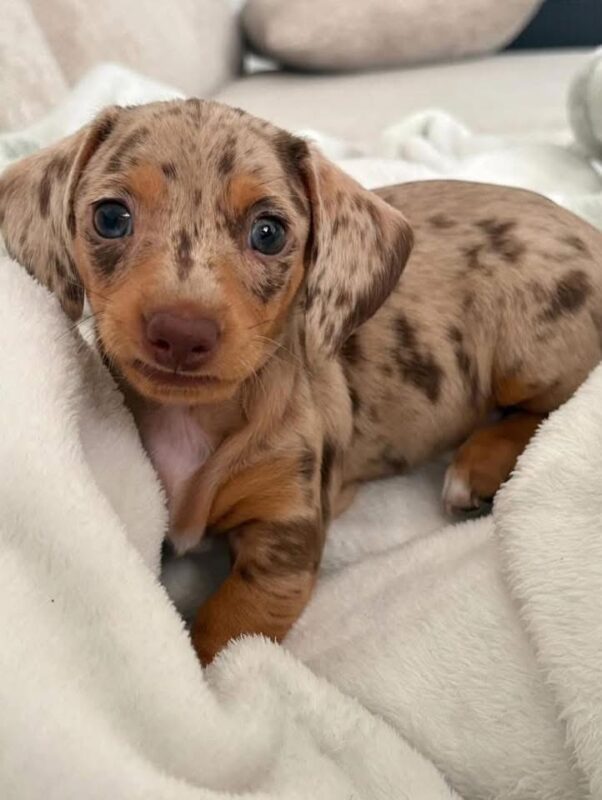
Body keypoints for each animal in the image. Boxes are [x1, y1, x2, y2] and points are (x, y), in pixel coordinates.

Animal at [1, 99, 601, 664]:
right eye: (110, 217)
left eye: (268, 233)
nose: (180, 332)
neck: (195, 418)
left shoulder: (286, 534)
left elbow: (225, 629)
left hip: (528, 350)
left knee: (557, 405)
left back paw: (477, 466)